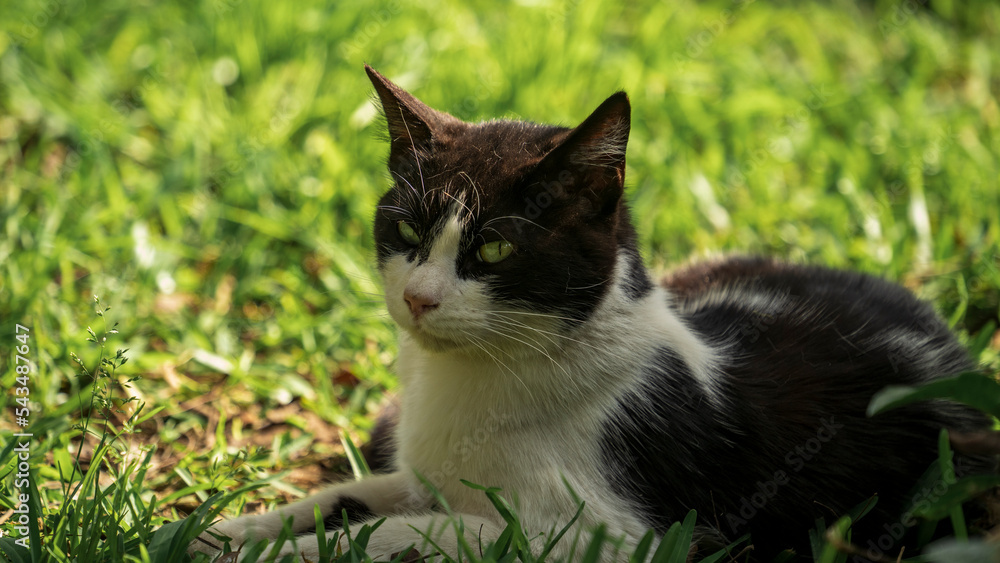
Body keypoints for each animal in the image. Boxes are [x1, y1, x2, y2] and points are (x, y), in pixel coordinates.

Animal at [189, 64, 992, 560]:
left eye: (495, 250)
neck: (473, 379)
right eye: (409, 231)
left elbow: (434, 531)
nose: (418, 297)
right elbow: (352, 495)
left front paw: (295, 550)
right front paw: (229, 531)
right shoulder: (419, 473)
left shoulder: (619, 536)